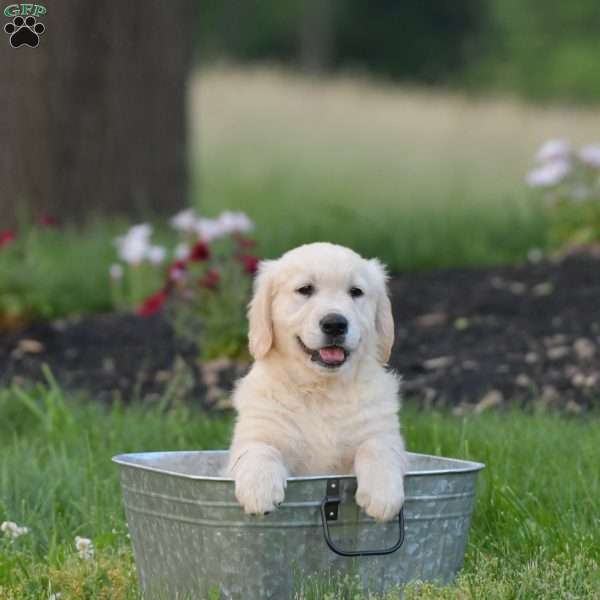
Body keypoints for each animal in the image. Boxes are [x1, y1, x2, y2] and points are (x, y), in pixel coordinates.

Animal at [225, 243, 408, 520]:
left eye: (356, 292)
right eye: (305, 289)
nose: (335, 324)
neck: (322, 390)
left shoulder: (383, 431)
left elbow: (378, 447)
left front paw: (383, 494)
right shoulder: (257, 431)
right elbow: (260, 449)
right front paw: (259, 489)